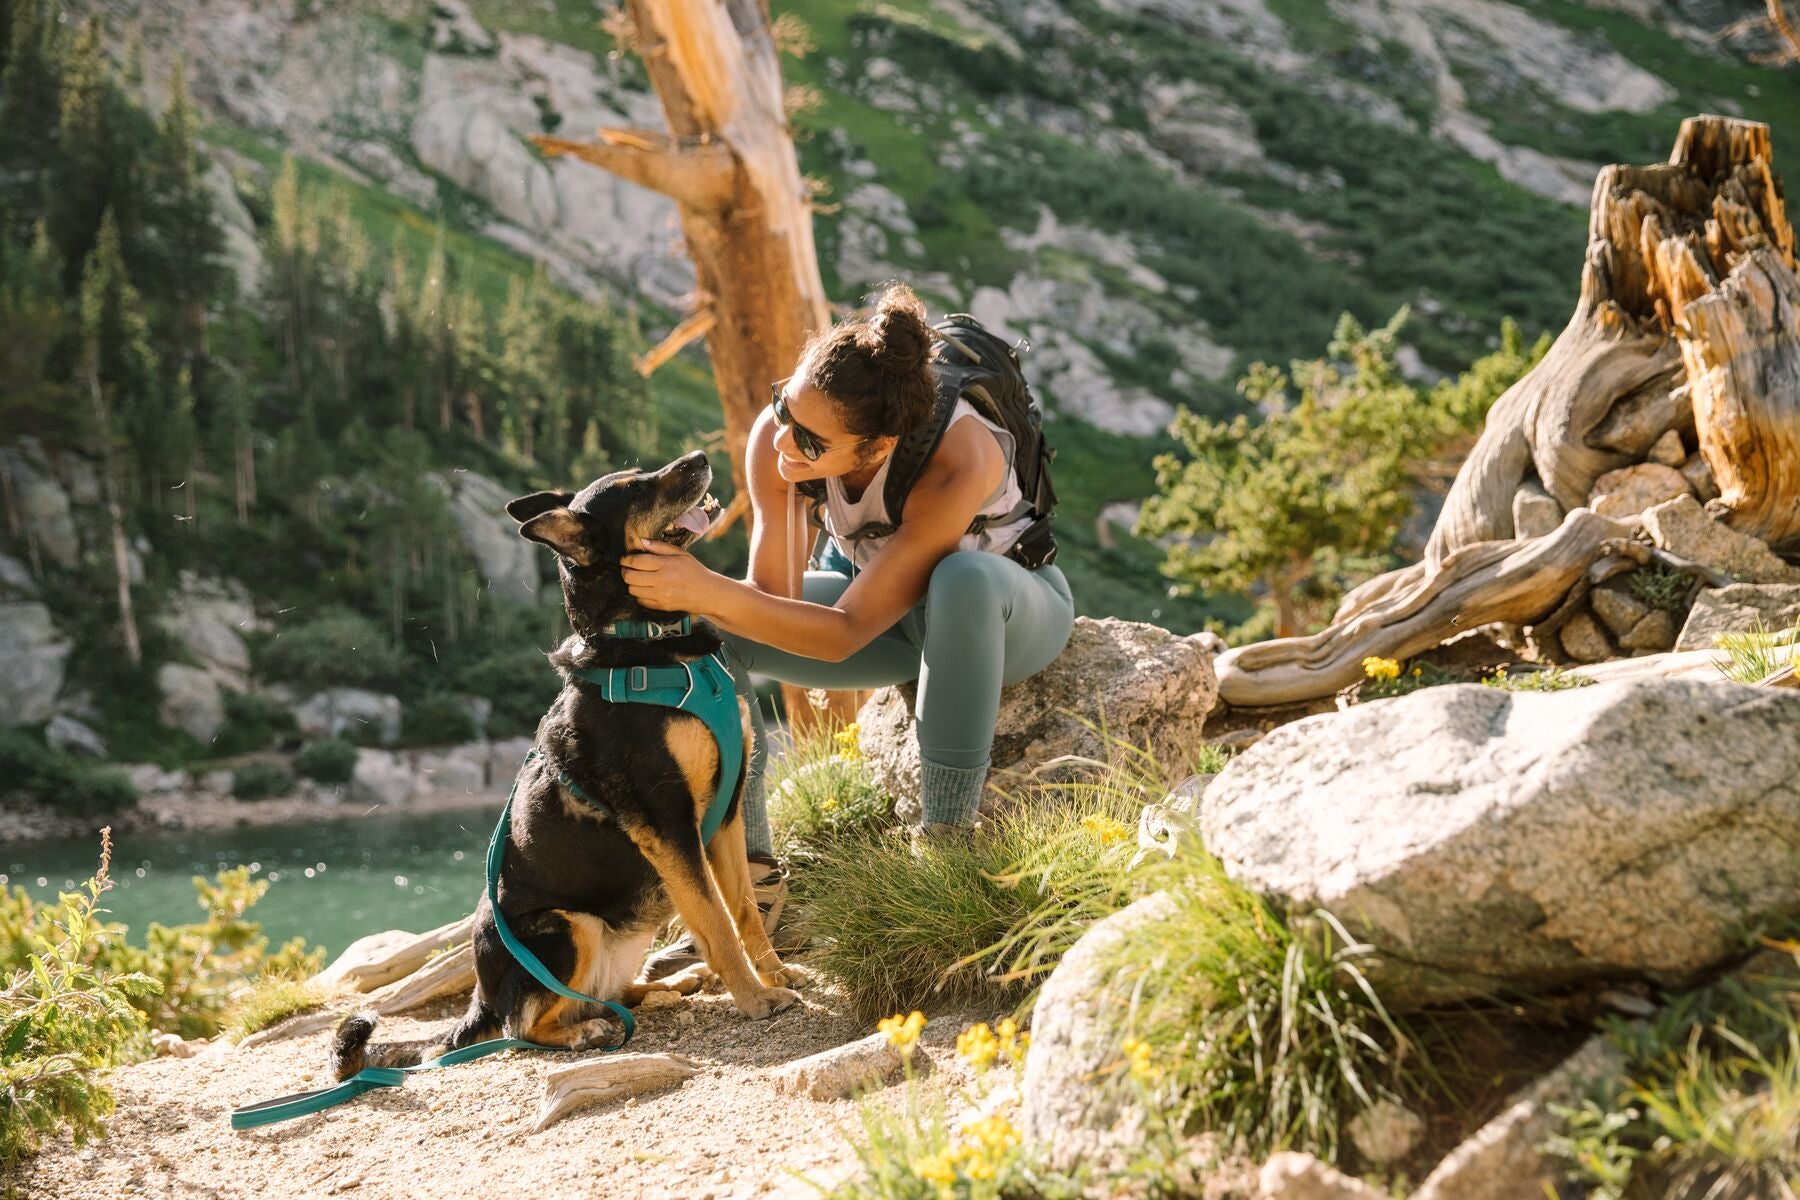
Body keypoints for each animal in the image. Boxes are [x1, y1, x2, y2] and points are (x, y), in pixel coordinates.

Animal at [331, 447, 795, 1079]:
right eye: (637, 490)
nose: (699, 457)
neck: (654, 641)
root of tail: (478, 1001)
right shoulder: (670, 826)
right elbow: (717, 922)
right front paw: (755, 999)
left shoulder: (722, 815)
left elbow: (743, 910)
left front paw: (773, 976)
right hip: (567, 926)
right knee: (525, 1025)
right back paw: (586, 1032)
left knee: (603, 995)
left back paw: (668, 987)